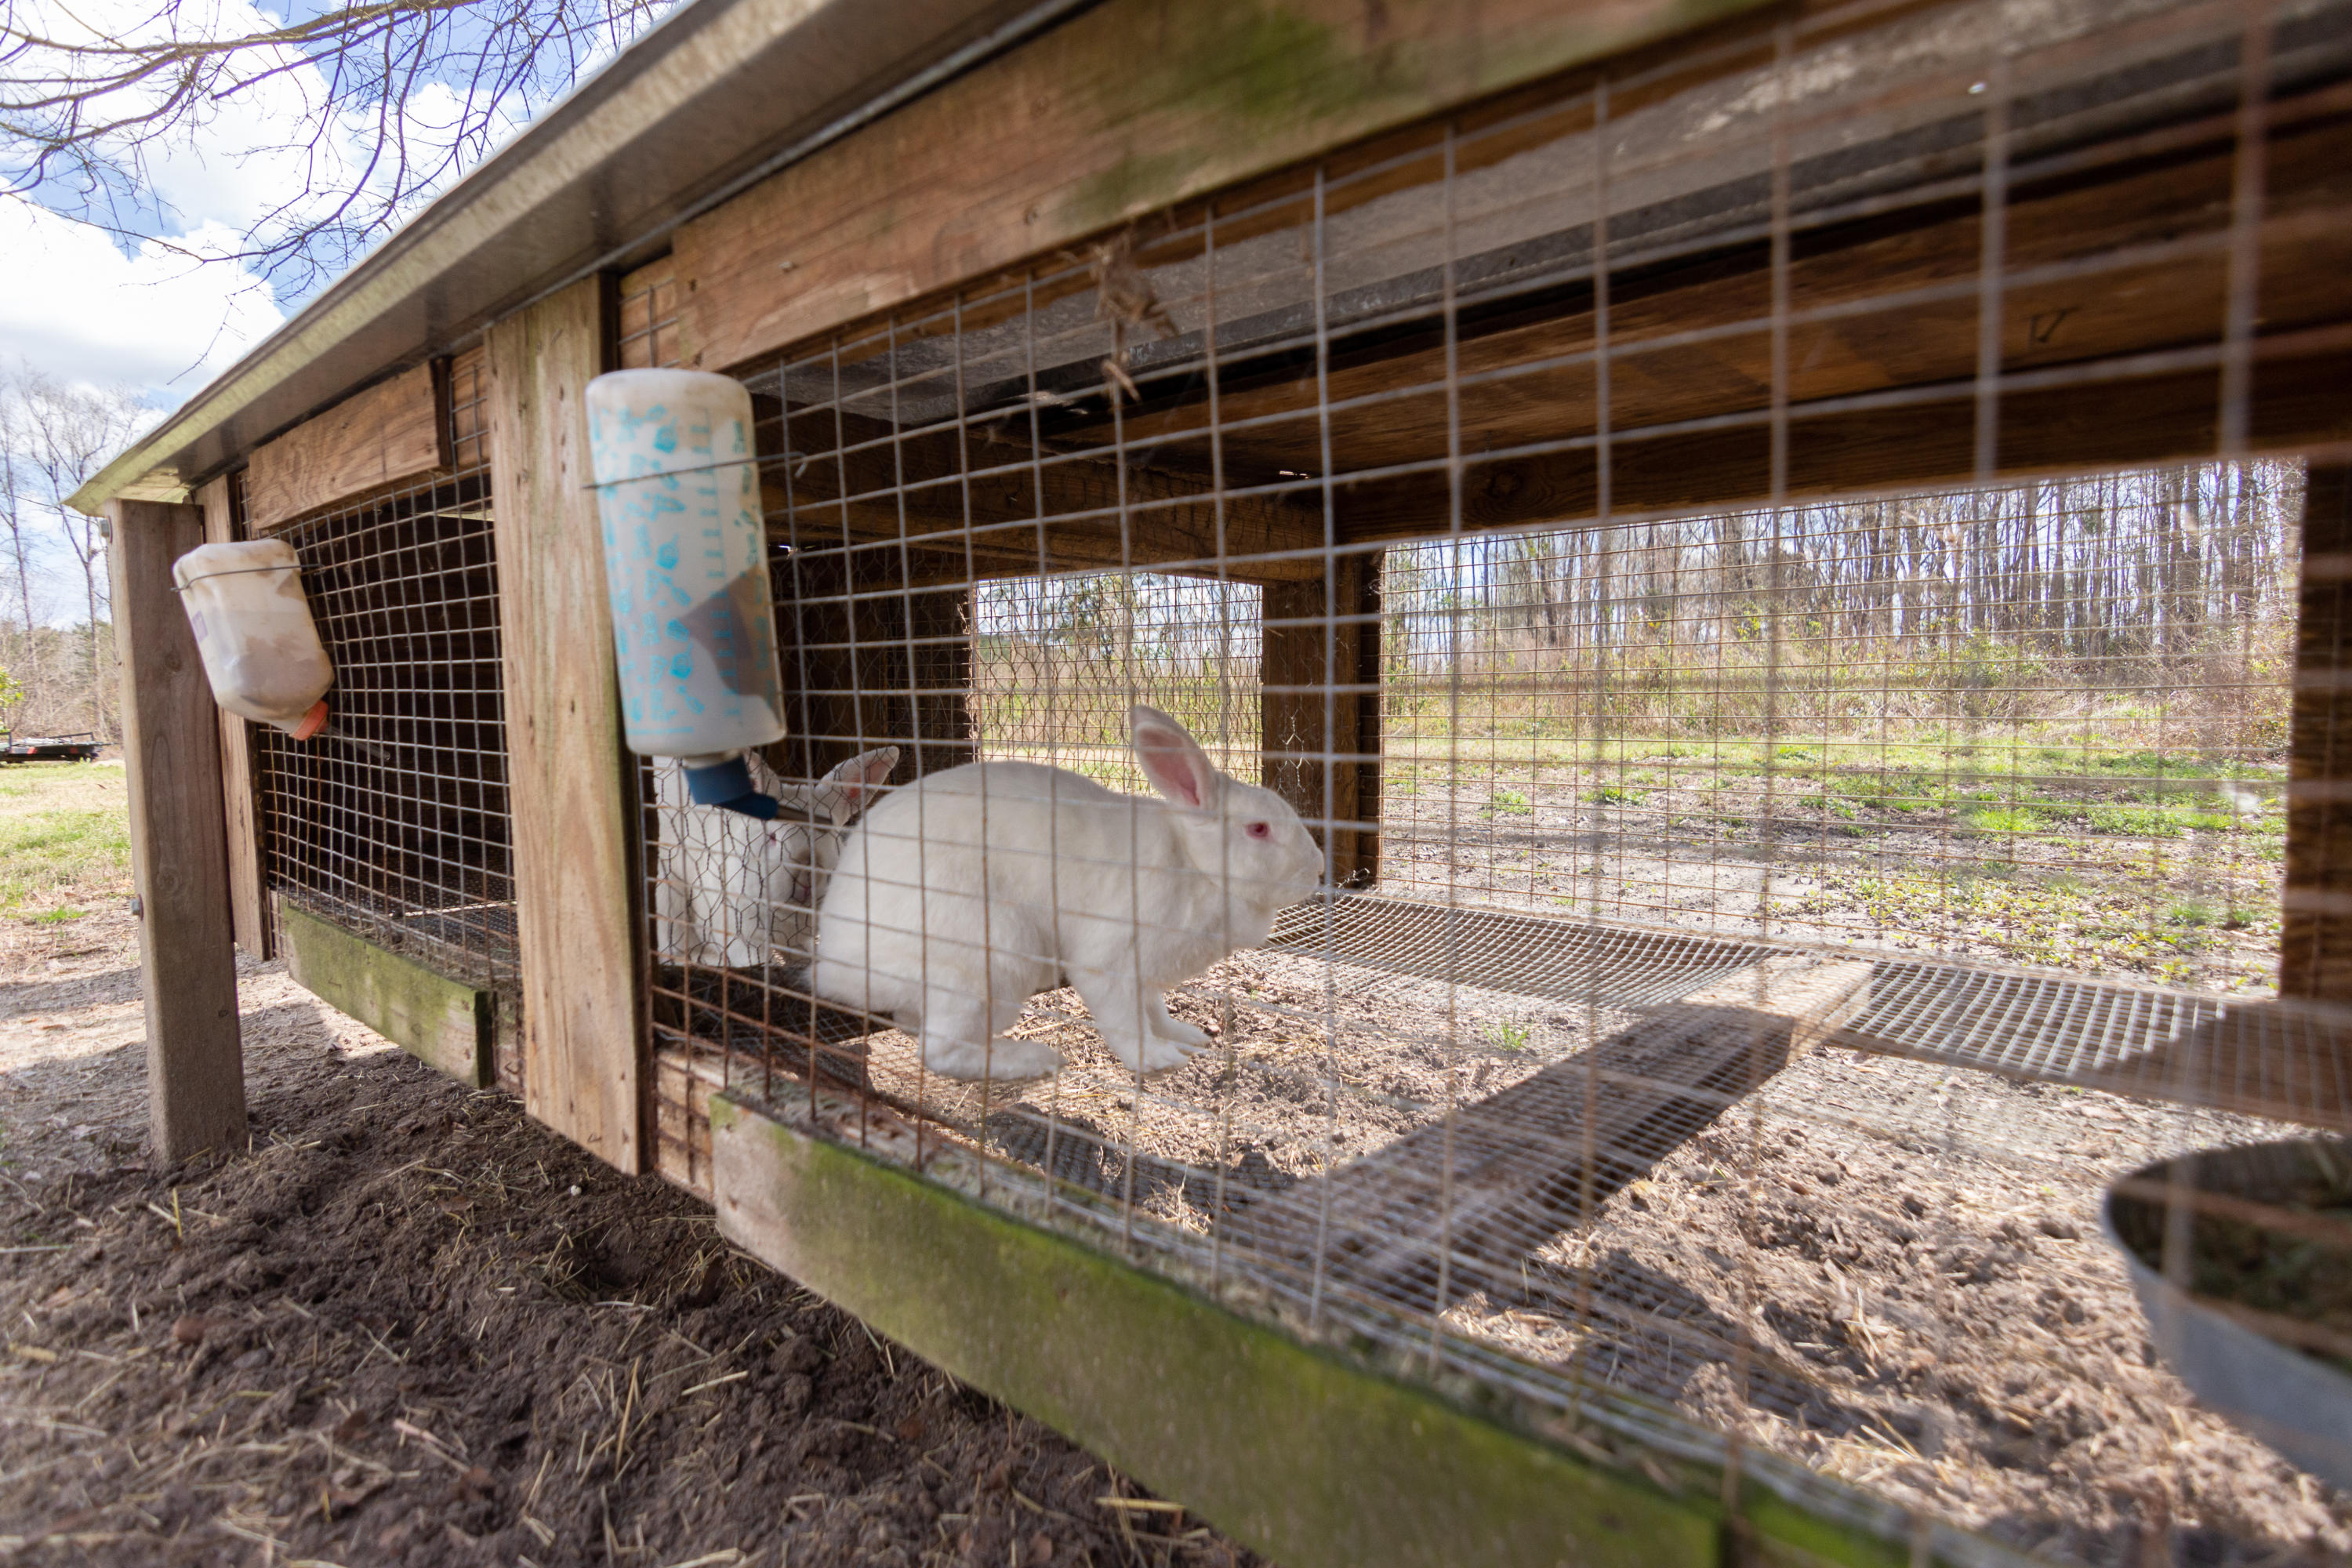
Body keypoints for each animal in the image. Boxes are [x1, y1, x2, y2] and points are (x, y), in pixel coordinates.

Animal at [654, 746, 900, 970]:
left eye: (827, 832)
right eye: (772, 836)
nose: (806, 879)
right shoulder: (736, 933)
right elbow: (757, 959)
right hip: (667, 895)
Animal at [811, 705, 1323, 1080]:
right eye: (1258, 829)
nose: (1317, 869)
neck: (1197, 866)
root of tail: (835, 966)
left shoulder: (1146, 977)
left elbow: (1155, 1012)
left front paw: (1187, 1037)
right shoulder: (1110, 962)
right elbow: (1126, 1021)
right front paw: (1159, 1061)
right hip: (986, 961)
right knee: (941, 1051)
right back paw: (1035, 1060)